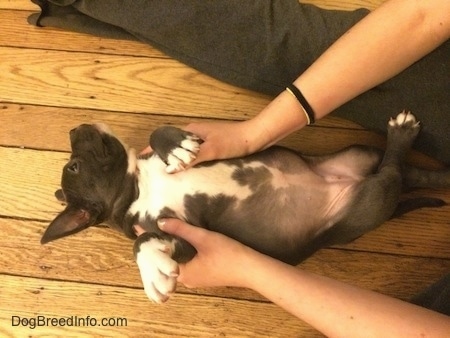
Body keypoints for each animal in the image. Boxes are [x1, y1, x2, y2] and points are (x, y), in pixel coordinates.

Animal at [41, 112, 446, 302]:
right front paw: (153, 270)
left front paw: (175, 144)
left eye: (72, 165)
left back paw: (411, 144)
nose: (75, 128)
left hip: (360, 154)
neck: (139, 187)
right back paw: (404, 140)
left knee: (408, 171)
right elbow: (142, 241)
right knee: (395, 173)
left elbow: (159, 135)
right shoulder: (184, 238)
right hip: (371, 198)